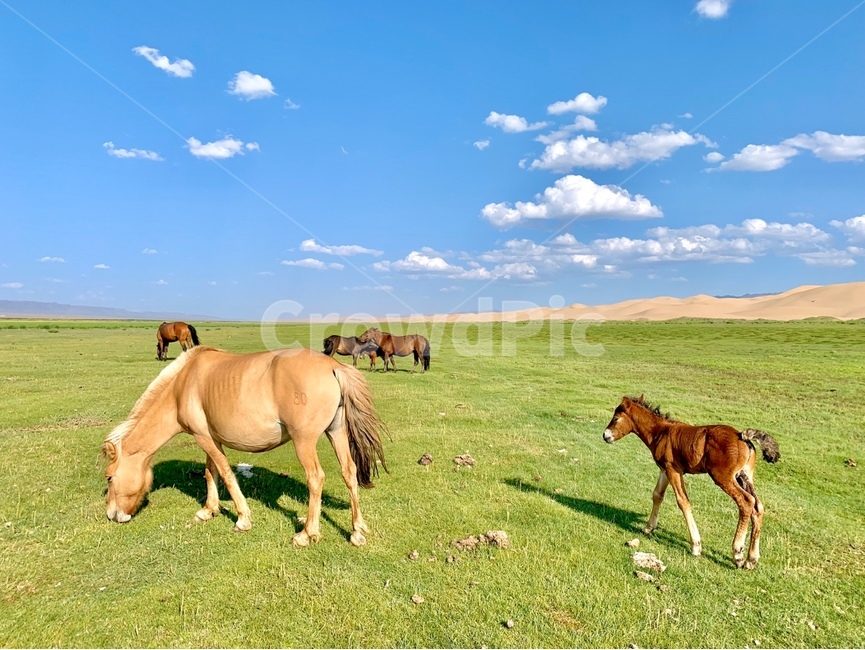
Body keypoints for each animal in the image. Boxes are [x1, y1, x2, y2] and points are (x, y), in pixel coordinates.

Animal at [102, 346, 387, 547]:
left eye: (109, 478)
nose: (112, 515)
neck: (181, 387)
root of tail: (332, 367)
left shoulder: (204, 438)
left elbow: (226, 474)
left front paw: (242, 518)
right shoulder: (210, 438)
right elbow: (210, 473)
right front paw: (209, 510)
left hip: (304, 442)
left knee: (315, 478)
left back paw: (307, 534)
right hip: (336, 432)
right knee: (349, 473)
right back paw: (357, 531)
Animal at [602, 395, 780, 569]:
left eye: (616, 418)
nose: (605, 435)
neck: (660, 432)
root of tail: (743, 438)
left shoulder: (673, 470)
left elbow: (683, 501)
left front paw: (696, 546)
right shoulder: (664, 469)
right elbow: (657, 495)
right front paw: (648, 527)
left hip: (724, 477)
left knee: (746, 502)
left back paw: (738, 554)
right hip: (744, 477)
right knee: (758, 507)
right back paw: (751, 559)